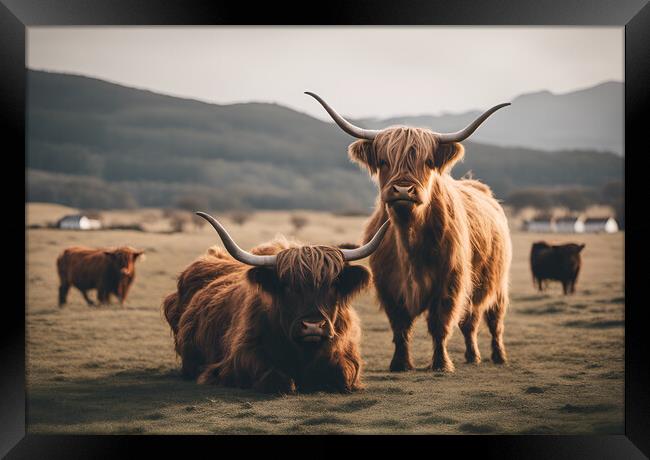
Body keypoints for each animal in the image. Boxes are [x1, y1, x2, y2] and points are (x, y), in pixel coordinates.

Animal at [162, 213, 388, 396]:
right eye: (286, 285)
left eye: (333, 284)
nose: (313, 326)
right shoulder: (239, 358)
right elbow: (277, 379)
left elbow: (342, 375)